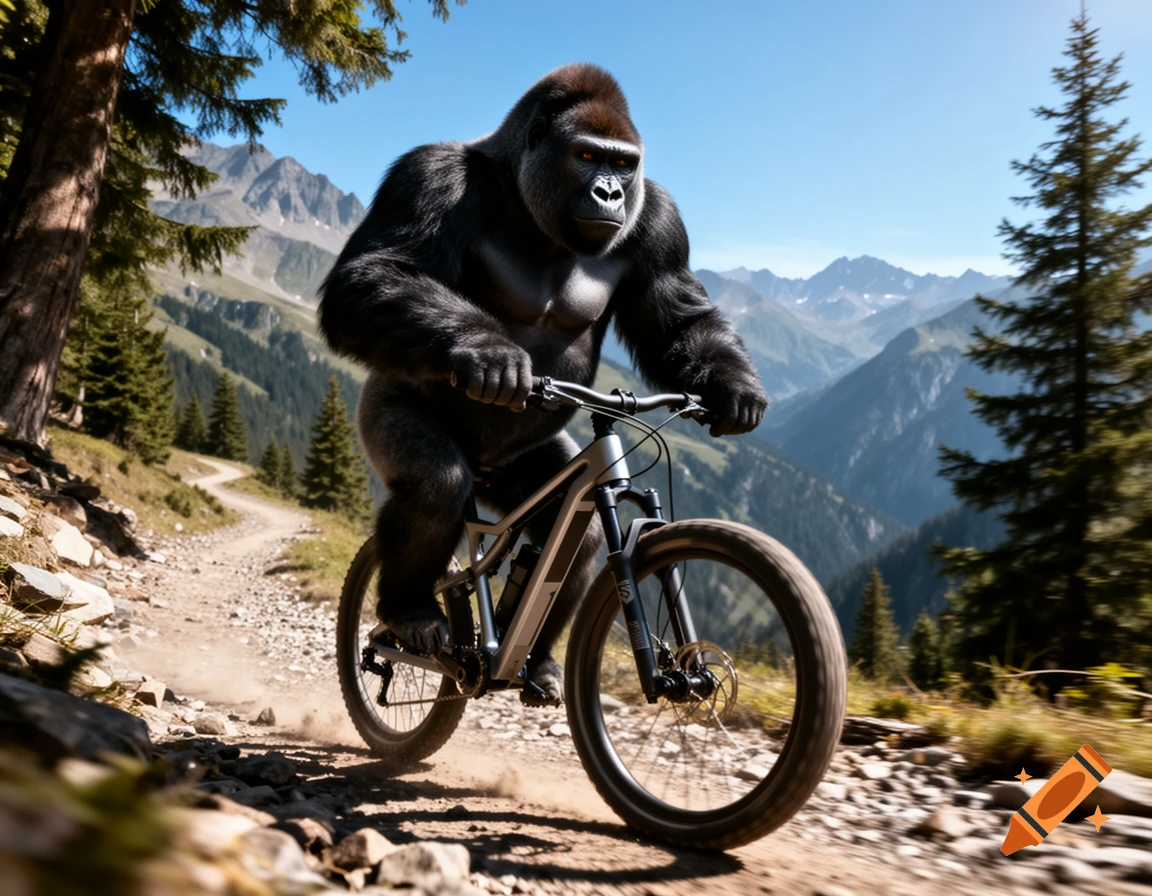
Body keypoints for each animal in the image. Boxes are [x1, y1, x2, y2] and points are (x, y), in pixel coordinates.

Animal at [319, 63, 768, 704]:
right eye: (586, 156)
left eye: (623, 164)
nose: (609, 192)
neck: (524, 197)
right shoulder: (427, 174)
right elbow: (373, 272)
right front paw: (486, 352)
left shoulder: (658, 218)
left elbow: (678, 321)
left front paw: (735, 390)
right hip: (384, 416)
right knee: (437, 488)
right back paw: (410, 619)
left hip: (528, 474)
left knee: (580, 532)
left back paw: (542, 663)